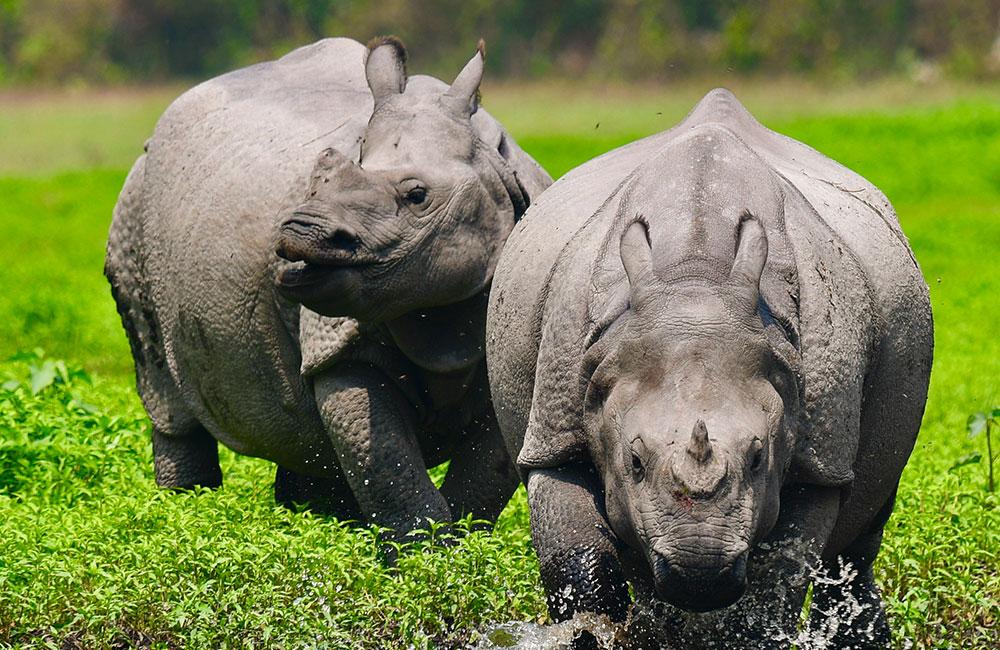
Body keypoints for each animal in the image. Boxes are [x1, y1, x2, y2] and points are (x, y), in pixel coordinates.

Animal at [105, 37, 551, 536]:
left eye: (417, 196)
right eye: (320, 181)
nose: (297, 234)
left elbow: (481, 480)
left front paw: (461, 549)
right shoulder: (337, 345)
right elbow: (389, 469)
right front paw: (425, 553)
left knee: (305, 438)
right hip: (135, 201)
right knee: (165, 391)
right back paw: (184, 510)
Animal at [486, 89, 932, 647]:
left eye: (759, 458)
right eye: (634, 462)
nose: (700, 574)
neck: (696, 283)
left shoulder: (821, 460)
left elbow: (773, 584)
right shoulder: (554, 430)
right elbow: (578, 561)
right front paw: (594, 634)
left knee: (855, 541)